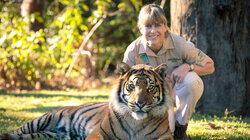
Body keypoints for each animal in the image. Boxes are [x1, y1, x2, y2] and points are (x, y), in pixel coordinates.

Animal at [0, 63, 174, 139]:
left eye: (150, 88)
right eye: (131, 86)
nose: (140, 103)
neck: (136, 122)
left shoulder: (164, 137)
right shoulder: (99, 132)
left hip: (49, 136)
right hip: (42, 120)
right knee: (16, 132)